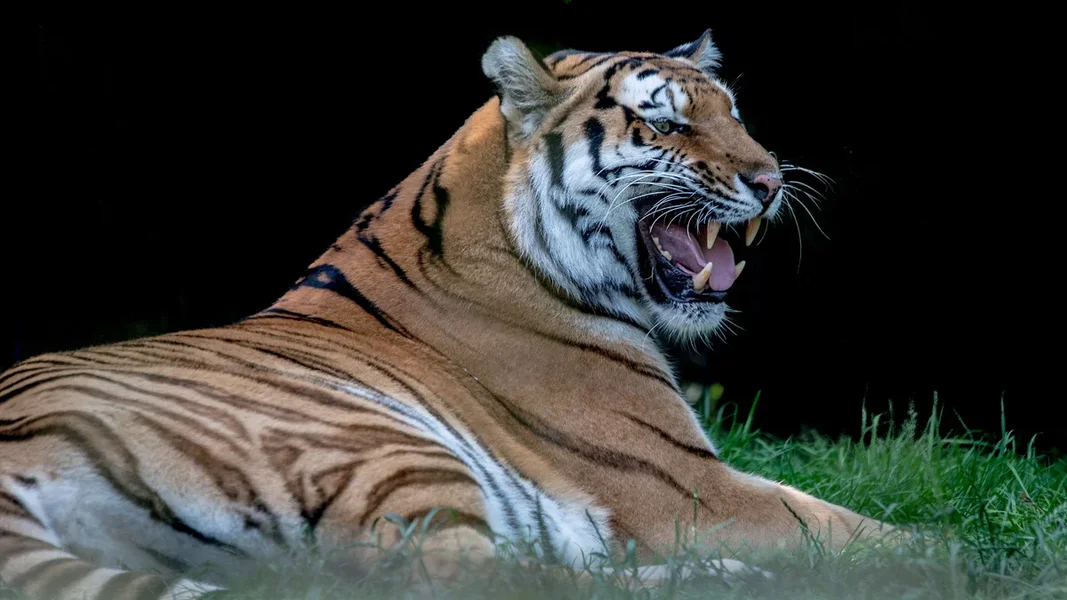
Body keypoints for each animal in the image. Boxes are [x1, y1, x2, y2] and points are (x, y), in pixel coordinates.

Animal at [0, 30, 891, 599]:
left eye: (733, 115)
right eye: (666, 121)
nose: (772, 182)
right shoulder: (689, 489)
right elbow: (862, 531)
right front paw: (926, 560)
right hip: (383, 449)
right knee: (473, 582)